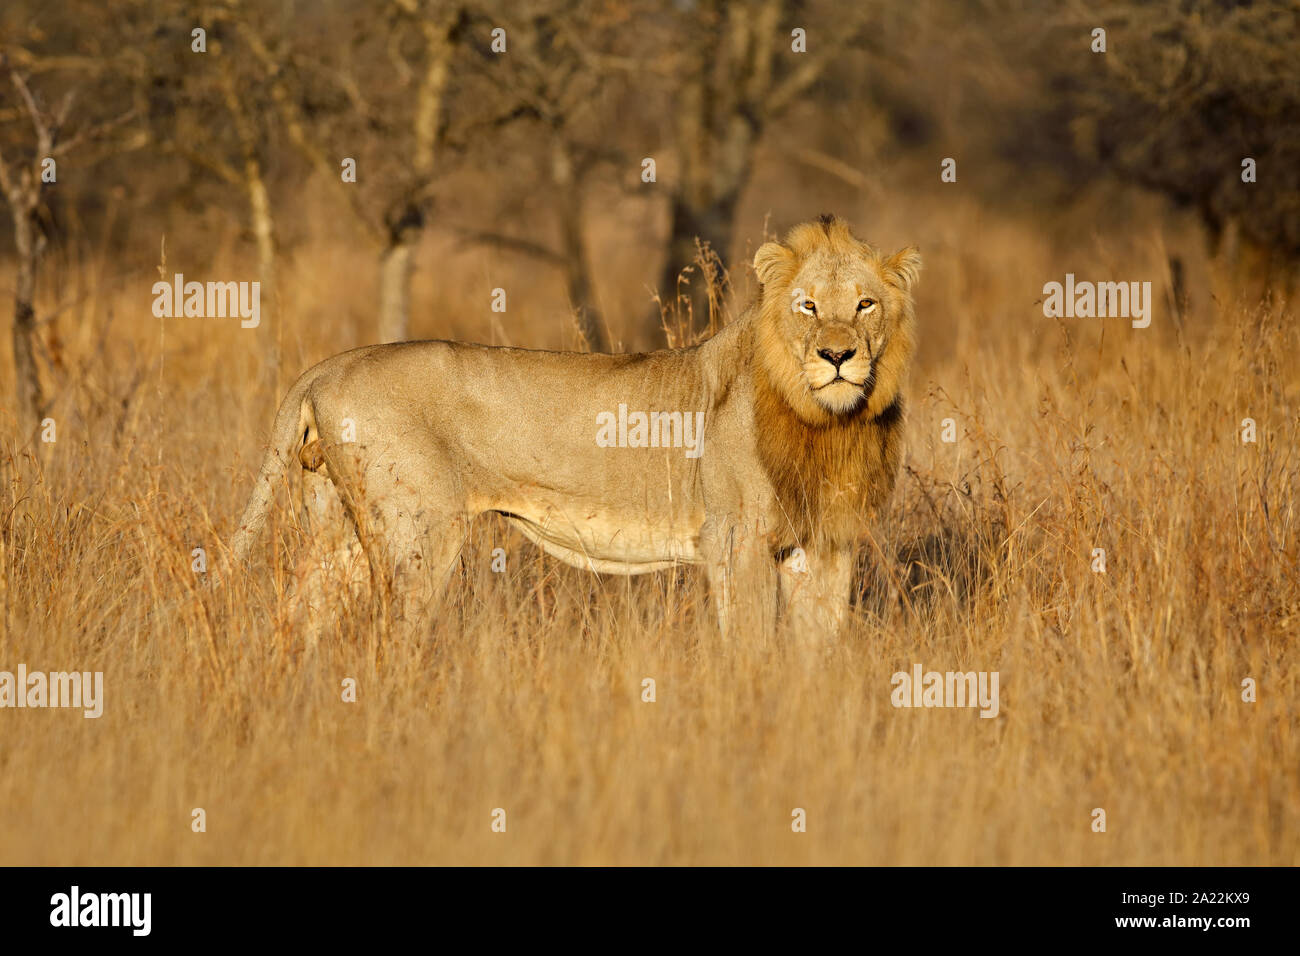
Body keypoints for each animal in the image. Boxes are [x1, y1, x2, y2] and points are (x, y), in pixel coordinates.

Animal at [231, 213, 925, 639]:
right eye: (807, 306)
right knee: (390, 633)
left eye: (865, 304)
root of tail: (326, 366)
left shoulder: (827, 545)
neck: (827, 424)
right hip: (416, 532)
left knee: (296, 615)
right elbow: (753, 649)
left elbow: (816, 655)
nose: (837, 356)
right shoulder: (738, 541)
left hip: (339, 530)